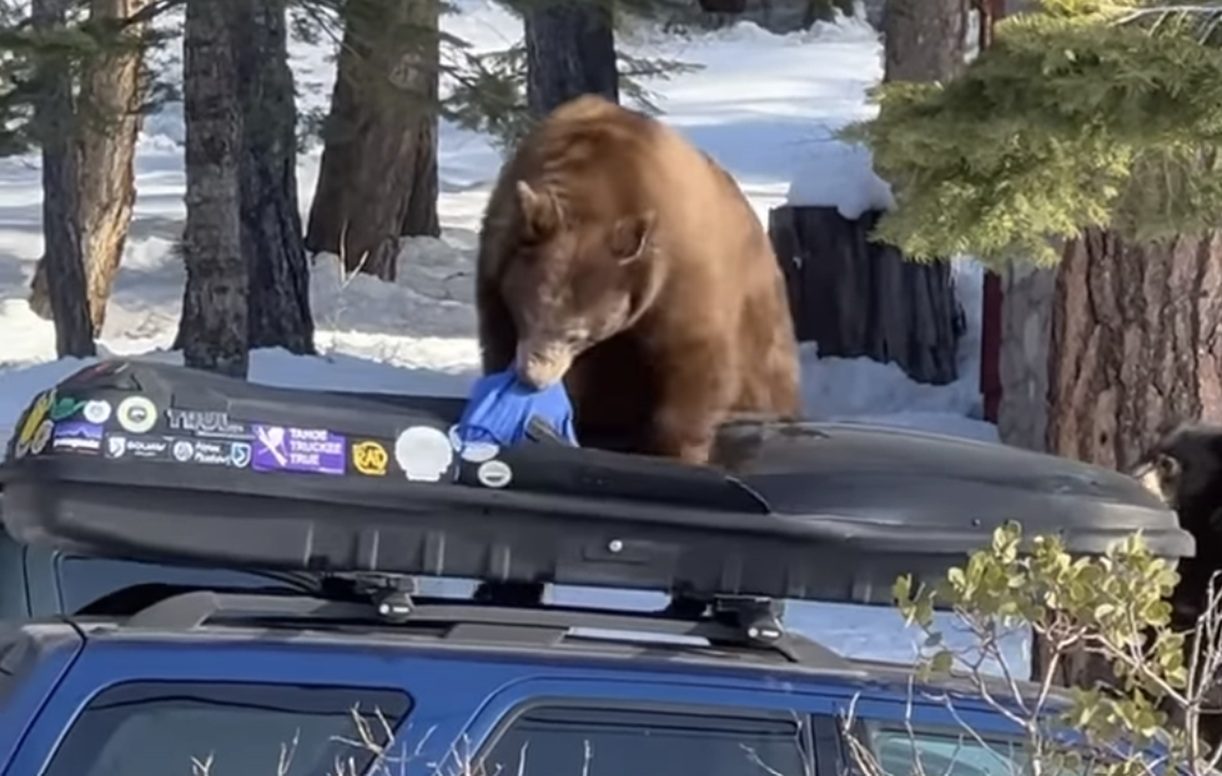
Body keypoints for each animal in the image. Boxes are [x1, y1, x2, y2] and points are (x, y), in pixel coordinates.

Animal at [474, 94, 801, 465]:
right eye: (528, 315)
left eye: (577, 334)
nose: (533, 379)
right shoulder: (497, 263)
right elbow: (499, 339)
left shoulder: (678, 275)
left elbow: (695, 362)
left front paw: (676, 449)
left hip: (764, 346)